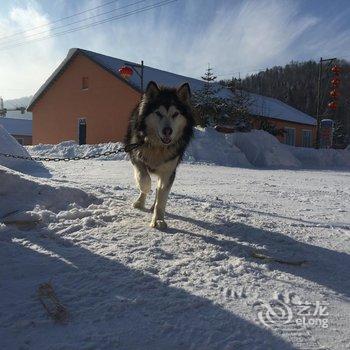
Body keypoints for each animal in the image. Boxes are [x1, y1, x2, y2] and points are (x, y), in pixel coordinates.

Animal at [123, 82, 196, 230]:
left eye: (175, 114)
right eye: (158, 113)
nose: (167, 131)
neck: (158, 147)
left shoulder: (169, 170)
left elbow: (162, 197)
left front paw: (158, 220)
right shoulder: (135, 155)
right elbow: (144, 179)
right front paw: (145, 188)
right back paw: (140, 202)